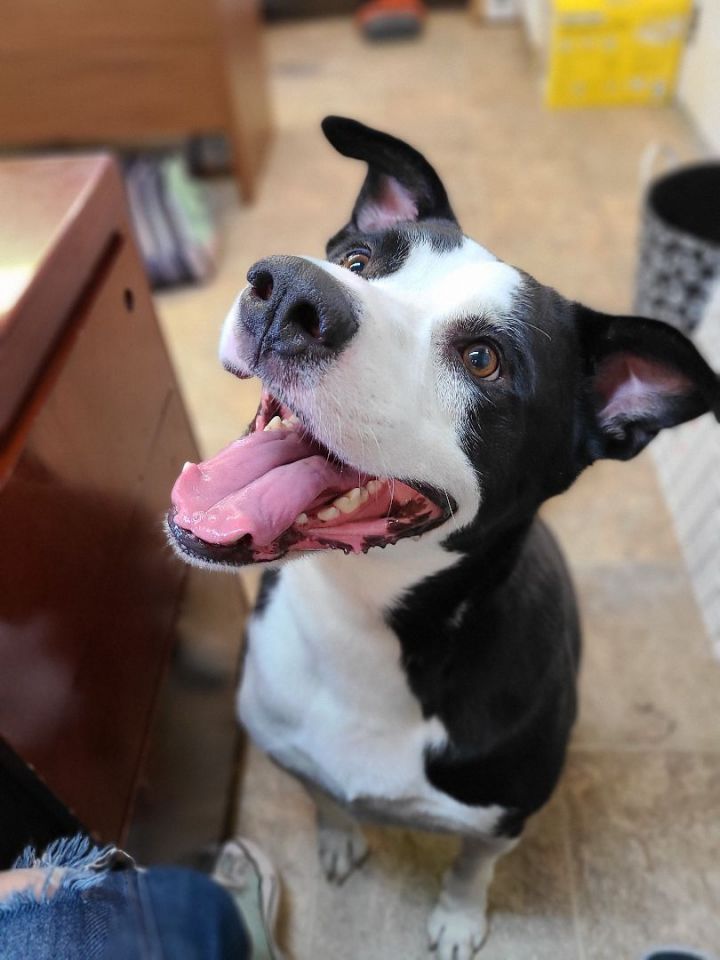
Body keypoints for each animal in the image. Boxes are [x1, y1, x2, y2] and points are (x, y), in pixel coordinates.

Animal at [170, 116, 720, 956]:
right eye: (357, 261)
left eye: (483, 359)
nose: (289, 291)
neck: (363, 629)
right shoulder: (288, 746)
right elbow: (325, 796)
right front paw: (339, 835)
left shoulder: (502, 814)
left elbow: (470, 863)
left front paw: (459, 918)